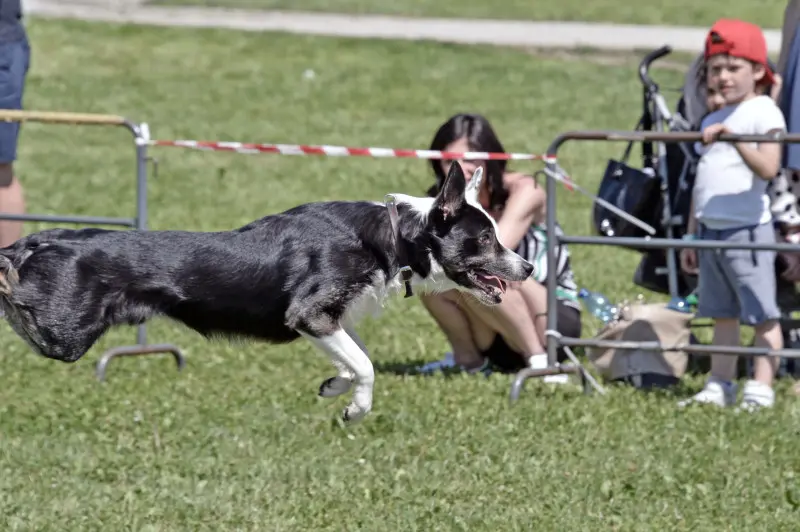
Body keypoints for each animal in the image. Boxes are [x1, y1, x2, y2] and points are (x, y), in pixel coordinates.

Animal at [0, 164, 532, 422]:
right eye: (486, 239)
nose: (526, 267)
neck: (395, 236)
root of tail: (39, 240)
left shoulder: (331, 319)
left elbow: (352, 358)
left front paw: (333, 386)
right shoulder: (309, 314)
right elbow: (365, 365)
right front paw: (355, 409)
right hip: (66, 333)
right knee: (14, 298)